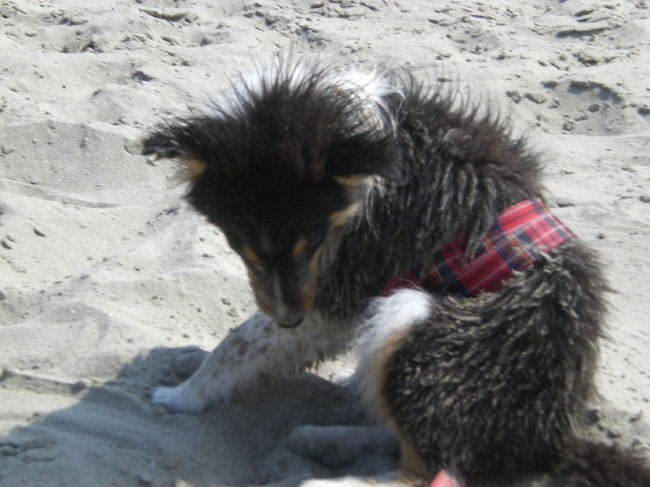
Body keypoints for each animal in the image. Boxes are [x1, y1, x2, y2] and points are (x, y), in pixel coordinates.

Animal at [143, 58, 650, 486]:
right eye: (238, 243)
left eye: (313, 241)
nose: (288, 320)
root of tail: (549, 444)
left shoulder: (341, 290)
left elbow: (238, 342)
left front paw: (181, 396)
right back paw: (324, 436)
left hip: (415, 321)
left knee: (426, 471)